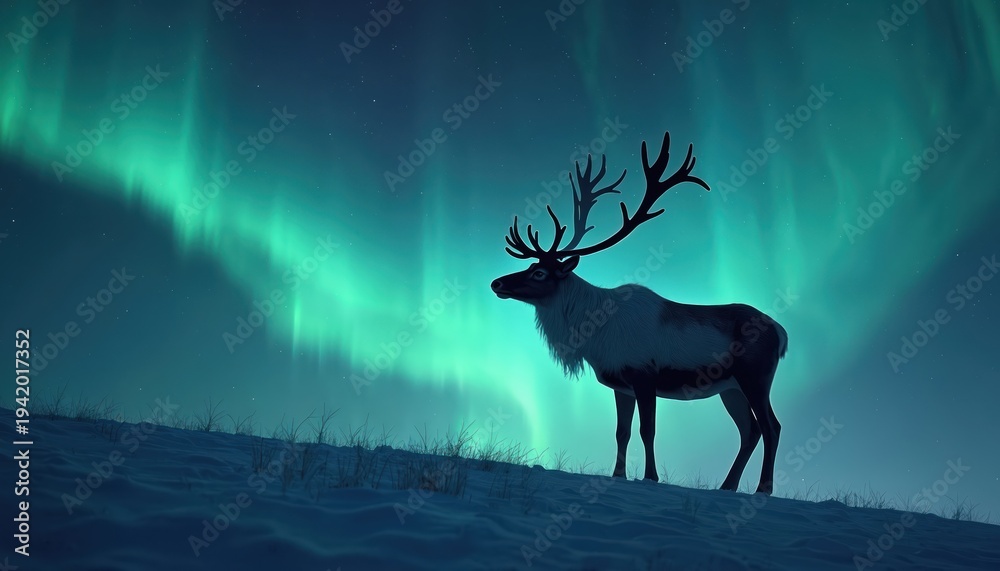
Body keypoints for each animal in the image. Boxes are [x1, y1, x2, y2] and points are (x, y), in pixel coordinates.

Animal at [490, 131, 788, 494]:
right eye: (530, 267)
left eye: (539, 273)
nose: (497, 283)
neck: (594, 335)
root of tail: (782, 333)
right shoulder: (620, 384)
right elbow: (622, 432)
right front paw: (617, 475)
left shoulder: (645, 376)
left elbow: (648, 430)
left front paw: (650, 477)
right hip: (730, 388)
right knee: (750, 431)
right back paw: (727, 486)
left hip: (755, 377)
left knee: (771, 426)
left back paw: (764, 488)